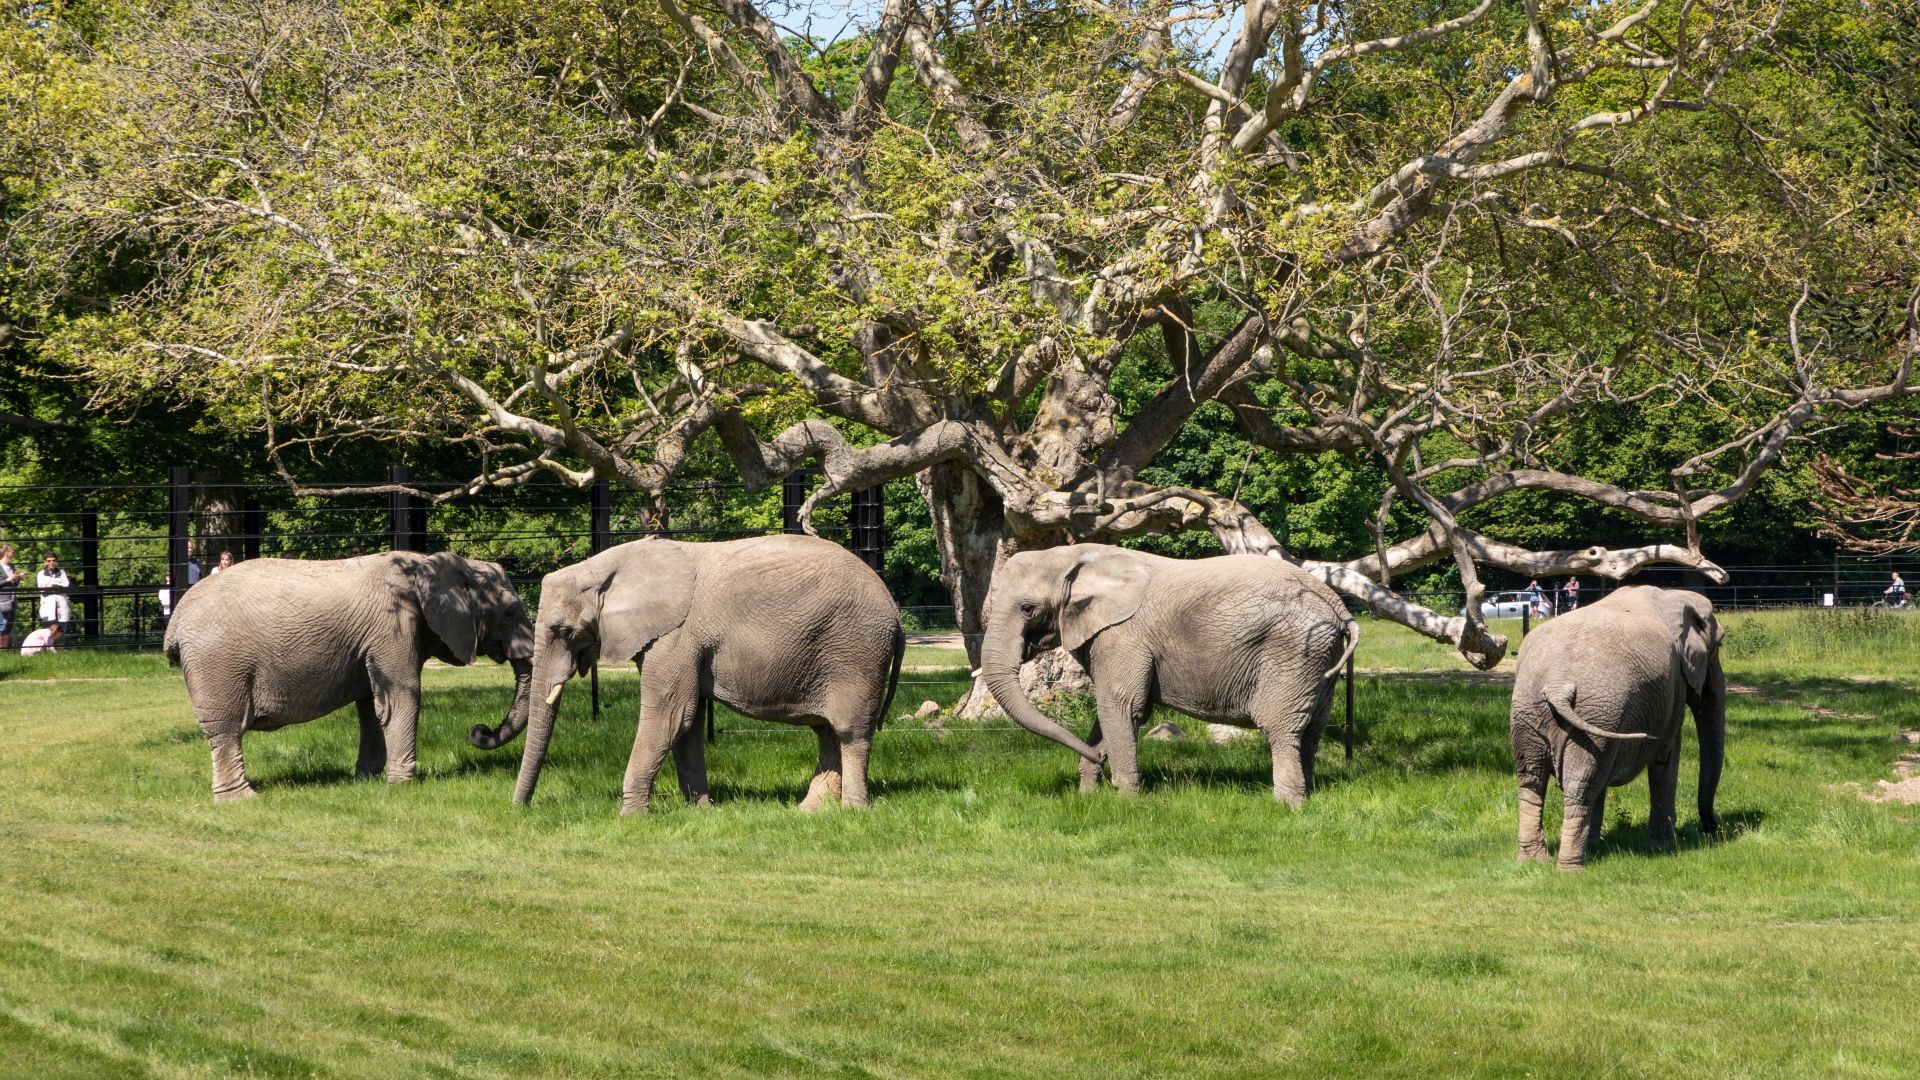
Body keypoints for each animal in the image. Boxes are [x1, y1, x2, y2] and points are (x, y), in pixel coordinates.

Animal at [165, 549, 537, 795]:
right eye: (509, 612)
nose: (479, 730)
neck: (429, 564)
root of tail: (175, 623)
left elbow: (372, 707)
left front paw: (366, 782)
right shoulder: (392, 626)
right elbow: (402, 696)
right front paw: (402, 786)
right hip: (217, 663)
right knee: (226, 728)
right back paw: (241, 800)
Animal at [480, 534, 906, 810]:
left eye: (564, 631)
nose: (519, 810)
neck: (607, 566)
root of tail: (896, 612)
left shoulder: (676, 636)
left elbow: (671, 716)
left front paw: (631, 816)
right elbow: (688, 724)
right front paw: (702, 810)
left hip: (856, 652)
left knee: (850, 732)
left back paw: (853, 811)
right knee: (827, 732)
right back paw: (810, 811)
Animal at [975, 541, 1367, 803]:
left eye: (1027, 608)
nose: (1098, 759)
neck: (1070, 556)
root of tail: (1339, 607)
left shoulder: (1123, 635)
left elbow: (1122, 707)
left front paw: (1125, 801)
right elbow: (1112, 711)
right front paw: (1089, 796)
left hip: (1293, 651)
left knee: (1282, 728)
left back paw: (1287, 805)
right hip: (1319, 659)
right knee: (1313, 728)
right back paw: (1309, 795)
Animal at [1505, 580, 1735, 864]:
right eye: (1719, 646)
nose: (1714, 829)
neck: (1671, 596)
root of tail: (1558, 683)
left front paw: (1596, 845)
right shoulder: (1674, 687)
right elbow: (1667, 756)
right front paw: (1664, 847)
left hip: (1533, 709)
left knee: (1532, 780)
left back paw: (1534, 860)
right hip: (1594, 712)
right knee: (1580, 783)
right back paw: (1571, 867)